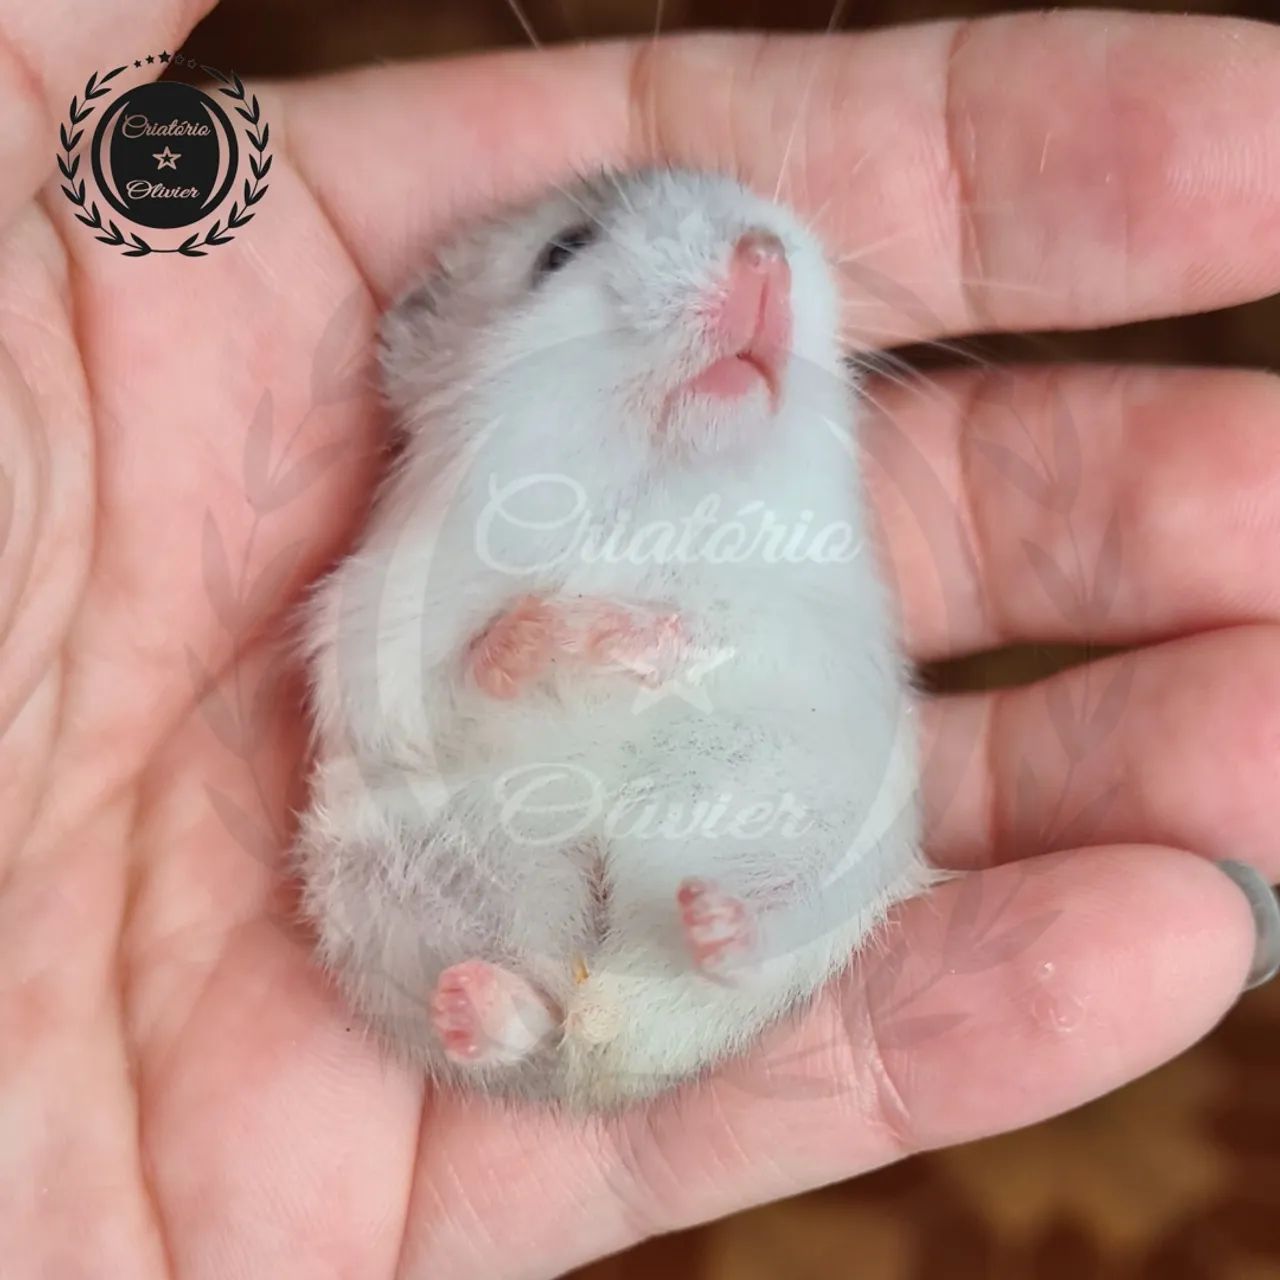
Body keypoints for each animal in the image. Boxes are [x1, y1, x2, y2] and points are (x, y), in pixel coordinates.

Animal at [294, 168, 933, 1112]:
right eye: (562, 250)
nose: (763, 255)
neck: (657, 482)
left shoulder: (805, 614)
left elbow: (722, 625)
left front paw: (639, 638)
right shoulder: (386, 627)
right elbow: (470, 664)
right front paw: (574, 635)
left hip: (823, 835)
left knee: (743, 955)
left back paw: (711, 925)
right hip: (398, 874)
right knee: (518, 1013)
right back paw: (483, 1004)